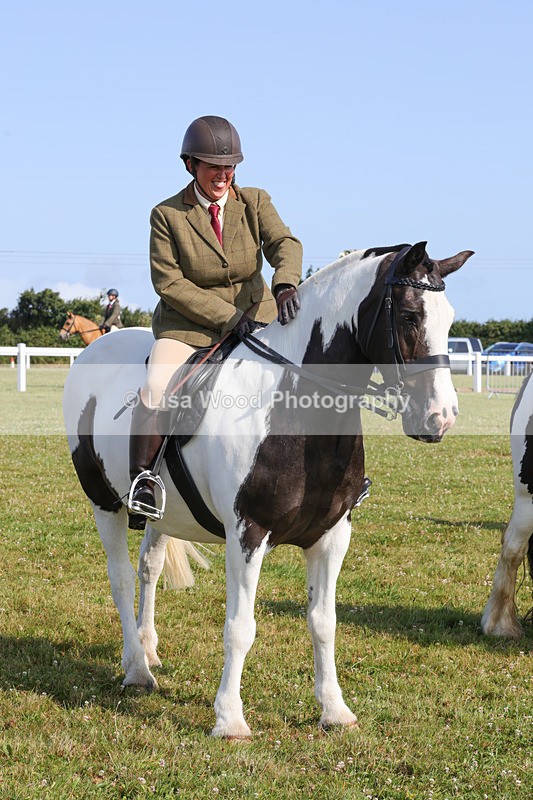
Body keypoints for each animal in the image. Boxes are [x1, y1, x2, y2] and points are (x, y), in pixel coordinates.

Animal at [62, 241, 473, 738]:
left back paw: (147, 649)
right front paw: (229, 719)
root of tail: (97, 348)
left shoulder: (332, 536)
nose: (441, 417)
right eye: (411, 316)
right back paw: (137, 668)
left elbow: (324, 622)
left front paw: (335, 710)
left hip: (161, 513)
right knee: (121, 578)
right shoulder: (248, 533)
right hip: (105, 502)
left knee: (148, 569)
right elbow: (240, 627)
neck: (296, 407)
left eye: (450, 319)